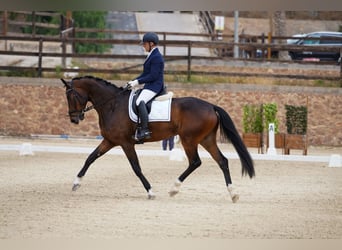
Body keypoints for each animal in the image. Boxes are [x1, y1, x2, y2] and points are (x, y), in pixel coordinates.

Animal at [60, 76, 254, 203]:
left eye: (71, 96)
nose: (74, 119)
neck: (112, 104)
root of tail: (211, 106)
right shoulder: (110, 141)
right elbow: (90, 158)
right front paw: (76, 183)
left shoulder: (125, 143)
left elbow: (136, 168)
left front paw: (151, 192)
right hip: (206, 139)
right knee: (222, 161)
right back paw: (233, 194)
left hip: (189, 139)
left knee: (195, 162)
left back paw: (174, 188)